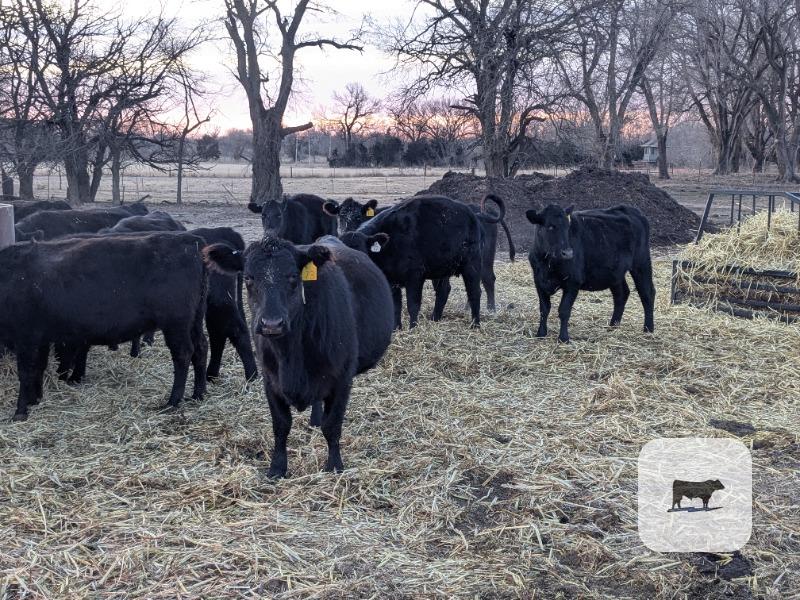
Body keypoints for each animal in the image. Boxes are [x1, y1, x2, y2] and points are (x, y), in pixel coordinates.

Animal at [0, 232, 209, 421]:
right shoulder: (41, 337)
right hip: (194, 319)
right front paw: (34, 400)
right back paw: (198, 394)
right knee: (201, 348)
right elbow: (38, 368)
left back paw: (173, 401)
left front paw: (20, 411)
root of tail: (190, 241)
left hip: (176, 323)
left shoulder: (26, 335)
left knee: (183, 354)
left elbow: (26, 371)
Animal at [205, 235, 394, 478]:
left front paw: (334, 465)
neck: (291, 356)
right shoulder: (270, 380)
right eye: (248, 278)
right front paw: (277, 468)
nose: (272, 323)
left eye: (293, 276)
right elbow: (281, 425)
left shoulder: (343, 378)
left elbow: (332, 425)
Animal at [339, 195, 501, 329]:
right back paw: (435, 318)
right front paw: (397, 328)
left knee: (475, 291)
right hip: (443, 269)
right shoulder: (392, 280)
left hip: (472, 264)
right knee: (444, 291)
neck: (391, 242)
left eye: (361, 253)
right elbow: (396, 305)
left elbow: (413, 304)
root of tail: (474, 217)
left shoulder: (415, 276)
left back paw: (476, 324)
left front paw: (413, 327)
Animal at [525, 204, 656, 343]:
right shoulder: (539, 281)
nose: (568, 253)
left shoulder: (573, 282)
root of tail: (630, 209)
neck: (547, 264)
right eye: (550, 226)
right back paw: (613, 326)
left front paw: (563, 338)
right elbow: (544, 309)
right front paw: (541, 333)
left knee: (647, 293)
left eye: (567, 227)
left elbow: (564, 310)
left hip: (641, 262)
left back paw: (648, 329)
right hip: (615, 272)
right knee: (622, 294)